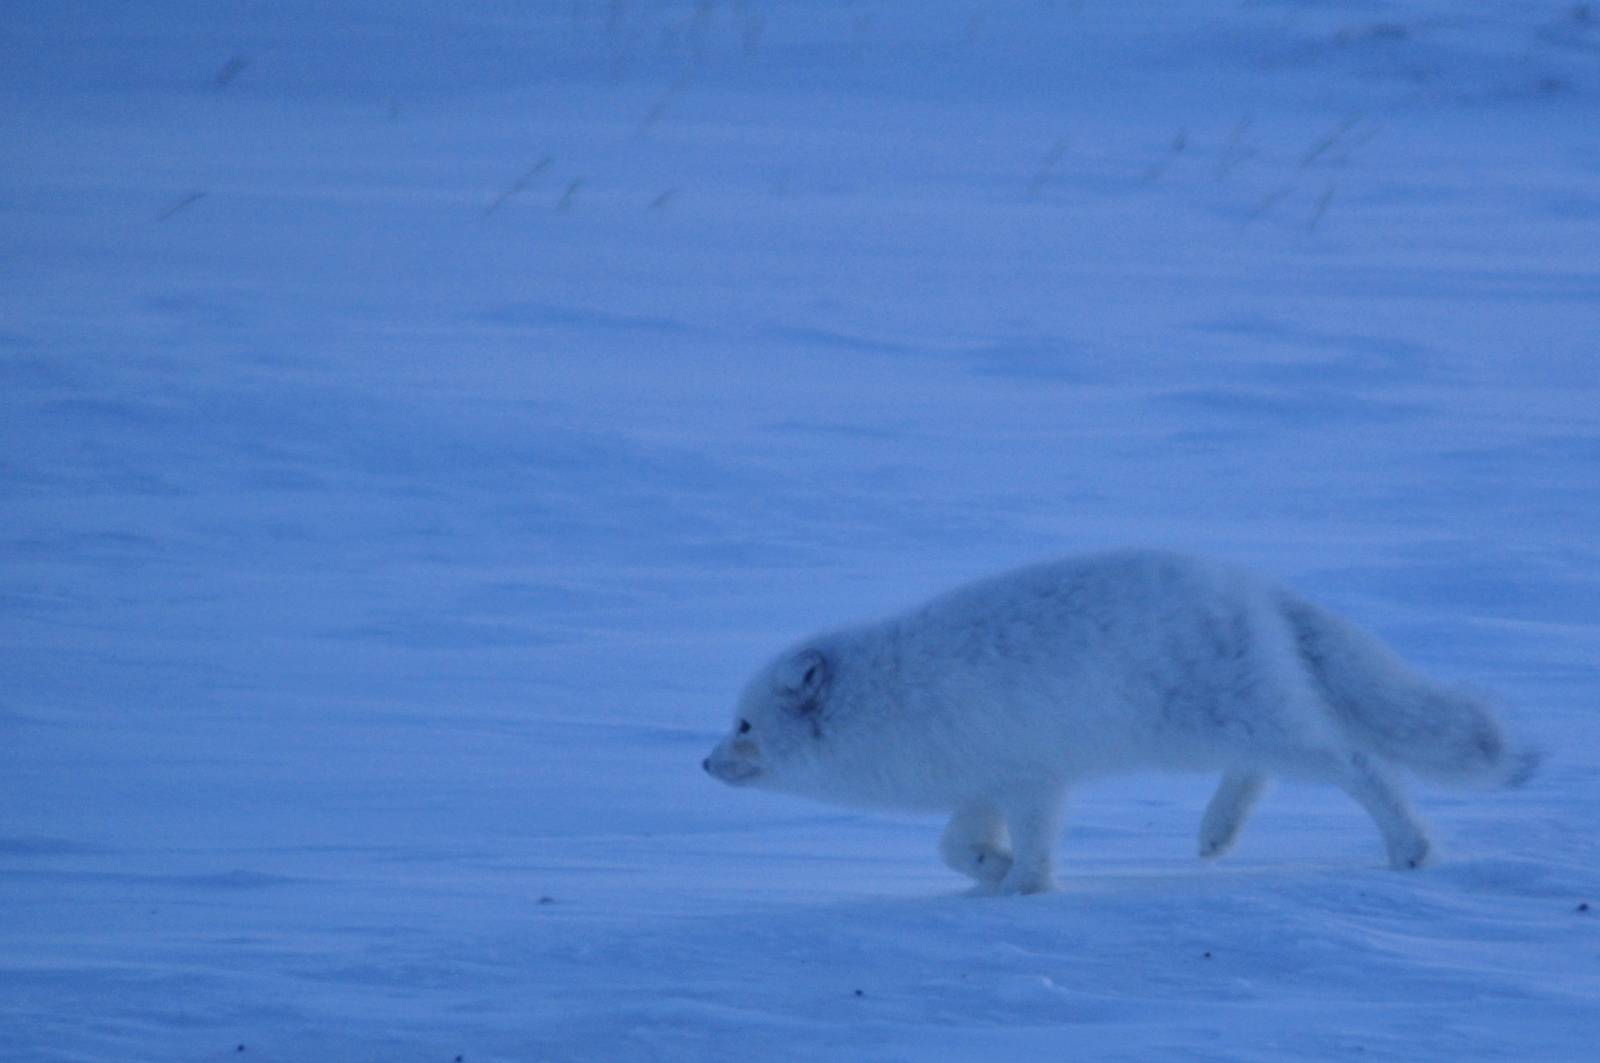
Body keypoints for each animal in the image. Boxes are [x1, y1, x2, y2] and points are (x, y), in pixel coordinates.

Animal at [703, 550, 1537, 895]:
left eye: (743, 724)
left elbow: (1032, 847)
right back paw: (1216, 833)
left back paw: (1411, 847)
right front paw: (993, 872)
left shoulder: (1031, 779)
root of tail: (1255, 586)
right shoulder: (984, 782)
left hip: (1242, 722)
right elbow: (952, 848)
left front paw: (1023, 887)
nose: (704, 764)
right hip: (1231, 725)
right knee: (1262, 771)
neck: (890, 699)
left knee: (1362, 765)